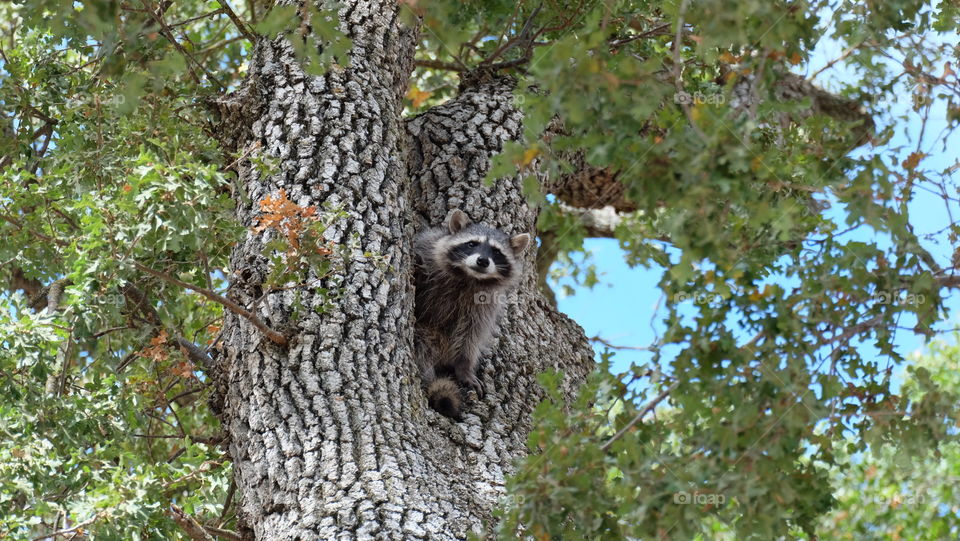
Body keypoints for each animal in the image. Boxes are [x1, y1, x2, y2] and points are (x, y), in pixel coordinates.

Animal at [412, 207, 532, 418]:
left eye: (496, 251)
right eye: (471, 244)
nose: (482, 261)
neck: (468, 276)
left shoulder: (485, 302)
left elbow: (472, 333)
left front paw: (464, 366)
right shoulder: (428, 248)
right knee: (421, 345)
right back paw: (427, 375)